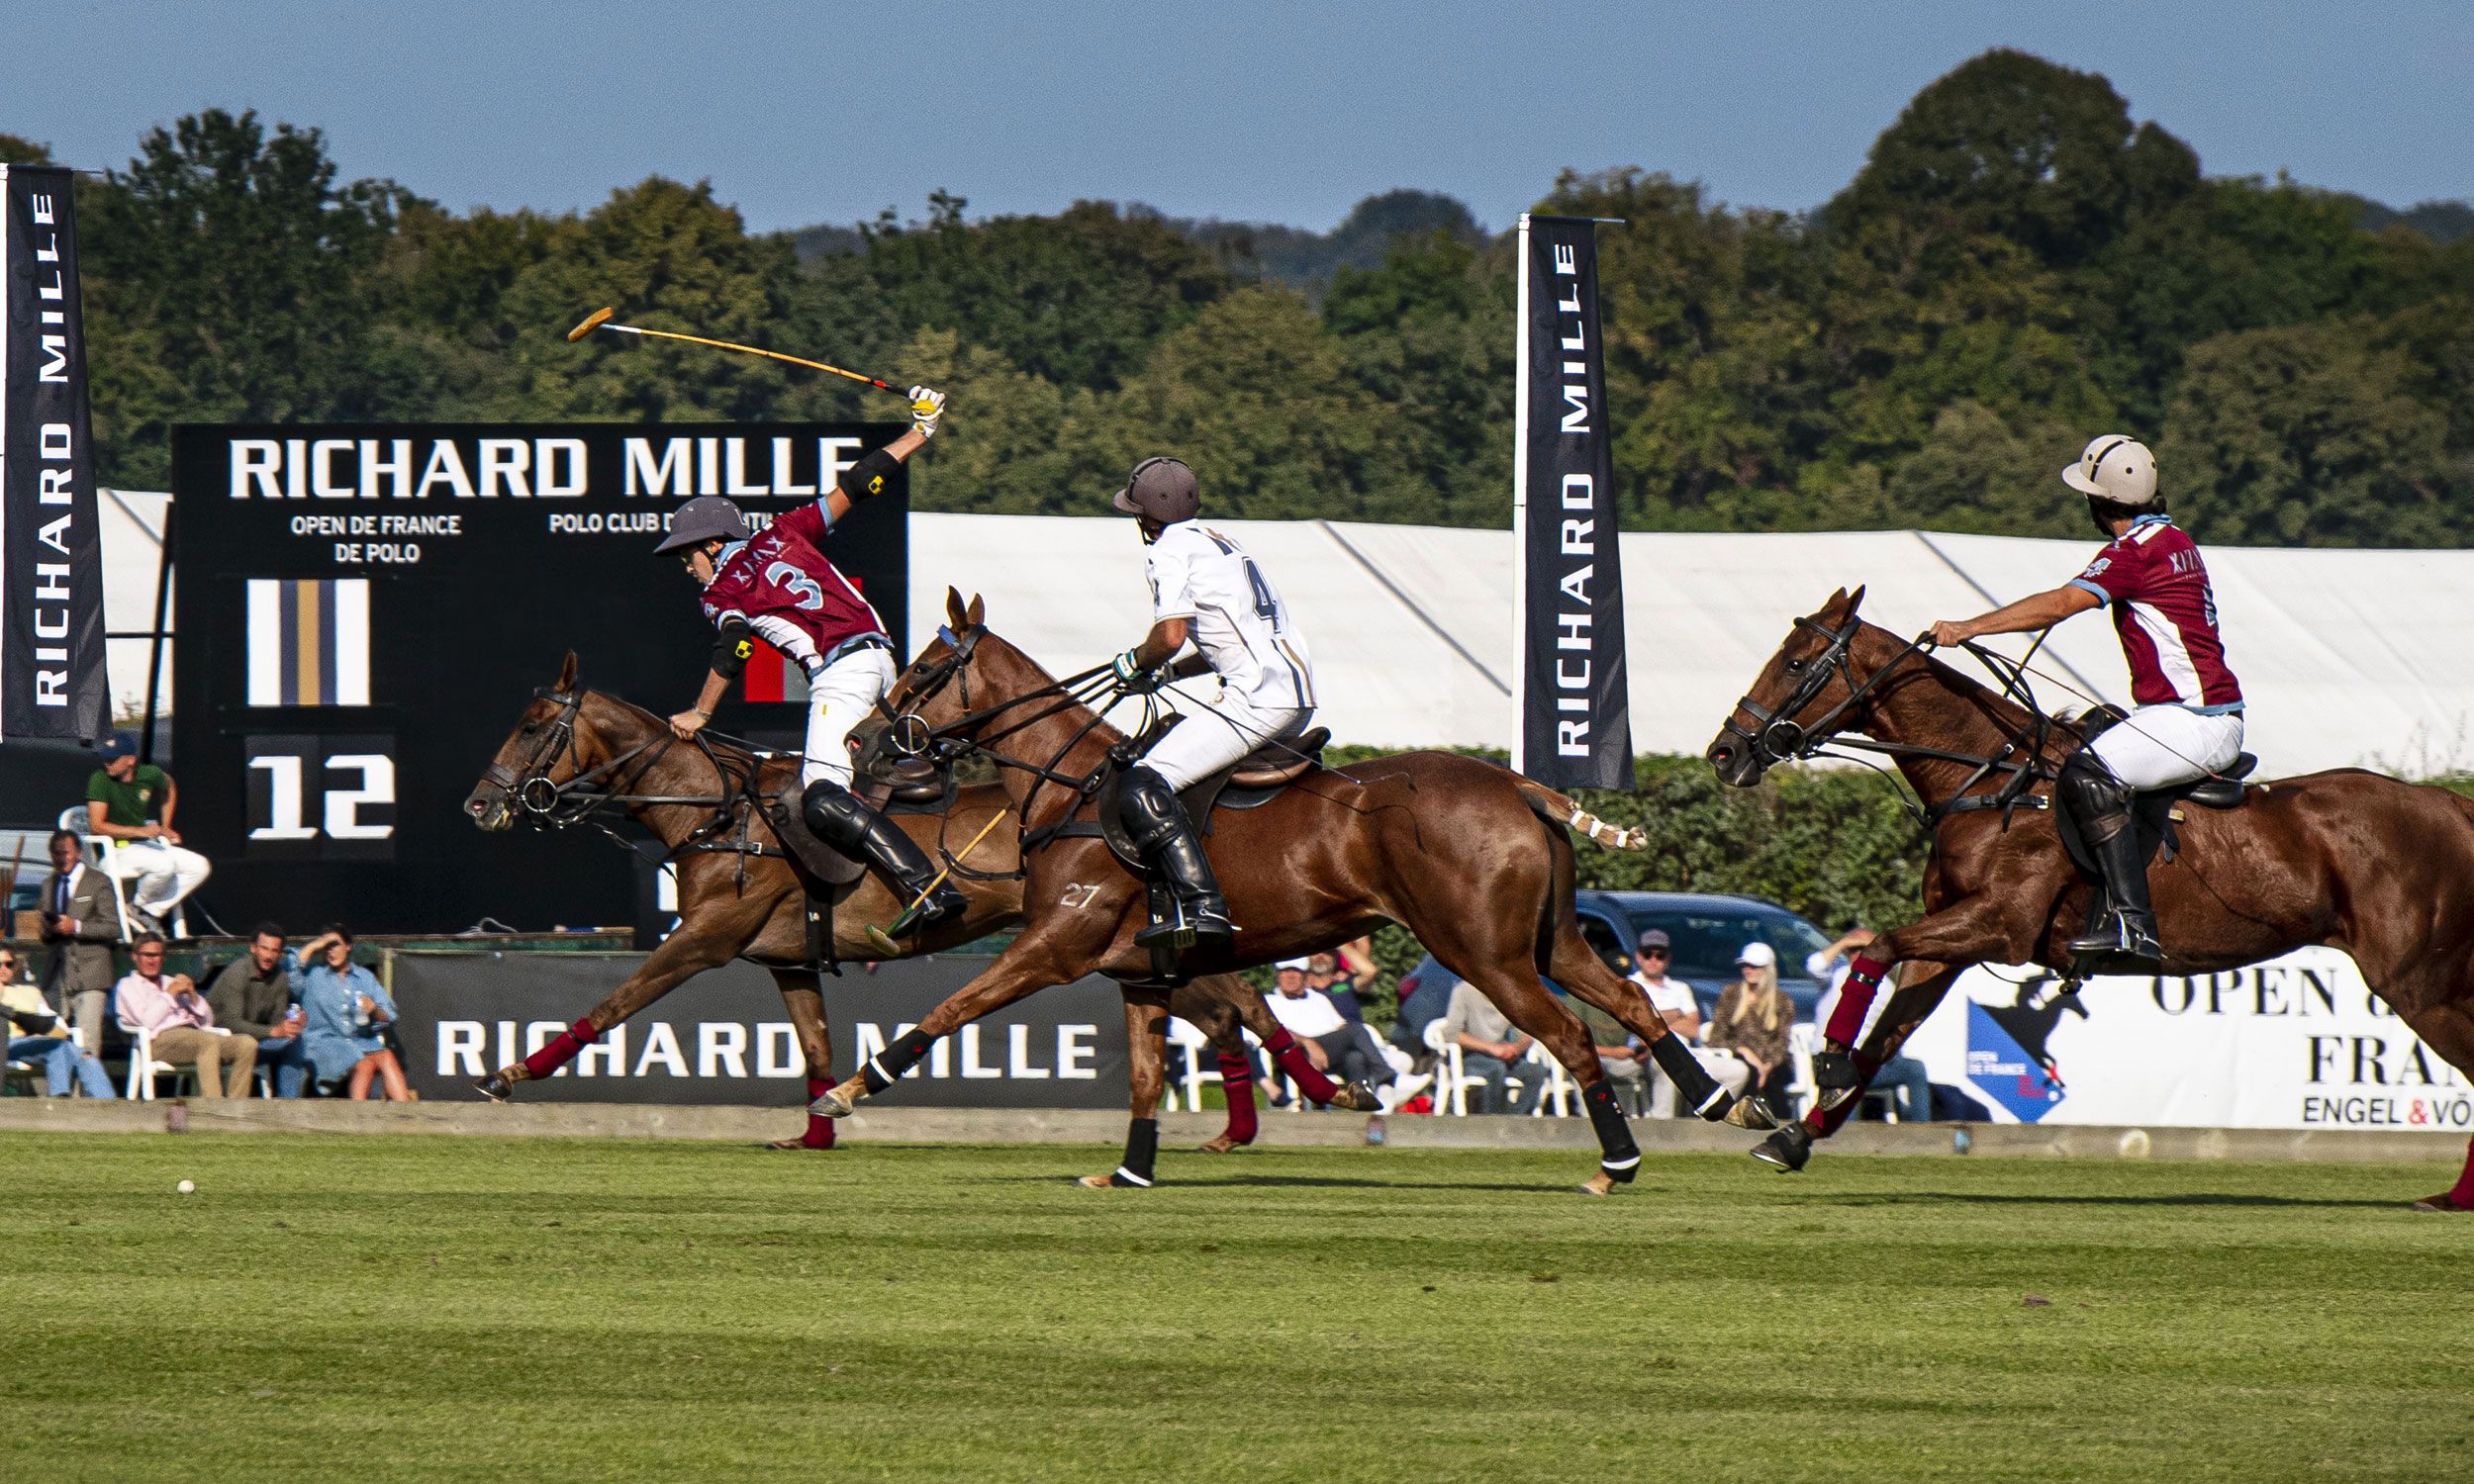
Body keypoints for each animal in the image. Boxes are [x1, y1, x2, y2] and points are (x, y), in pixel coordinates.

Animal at [462, 653, 1356, 1167]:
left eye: (534, 726)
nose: (480, 805)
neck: (713, 807)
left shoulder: (710, 934)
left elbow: (617, 1000)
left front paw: (508, 1073)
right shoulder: (787, 956)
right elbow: (815, 1043)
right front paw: (816, 1129)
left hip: (1079, 935)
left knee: (1228, 1002)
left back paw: (1311, 1095)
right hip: (1110, 939)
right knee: (1225, 1003)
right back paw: (1278, 1109)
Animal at [811, 591, 1781, 1192]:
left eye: (924, 671)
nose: (860, 740)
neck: (1070, 788)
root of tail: (1519, 785)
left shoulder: (1056, 947)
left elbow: (952, 1007)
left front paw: (850, 1089)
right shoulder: (1141, 973)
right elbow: (1146, 1077)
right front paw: (1128, 1170)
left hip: (1482, 950)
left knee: (1574, 1036)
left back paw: (1617, 1164)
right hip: (1551, 938)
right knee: (1634, 1003)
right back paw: (1731, 1105)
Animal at [1712, 586, 2474, 1212]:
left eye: (1794, 663)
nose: (1725, 752)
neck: (1995, 780)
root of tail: (2452, 804)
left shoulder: (2000, 926)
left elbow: (1875, 949)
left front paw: (1829, 1061)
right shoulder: (1950, 938)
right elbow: (1887, 1028)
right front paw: (1795, 1132)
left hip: (2414, 981)